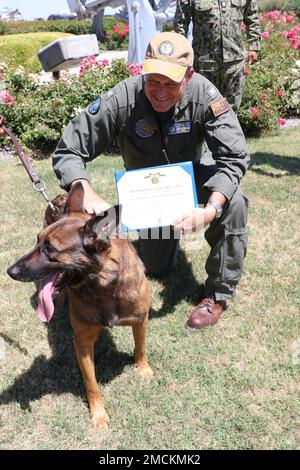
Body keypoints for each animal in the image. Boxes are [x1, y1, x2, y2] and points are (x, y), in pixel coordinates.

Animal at [7, 182, 152, 428]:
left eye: (50, 249)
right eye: (37, 241)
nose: (10, 271)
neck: (103, 286)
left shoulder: (141, 319)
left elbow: (140, 347)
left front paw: (143, 369)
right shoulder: (83, 342)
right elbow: (91, 383)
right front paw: (98, 414)